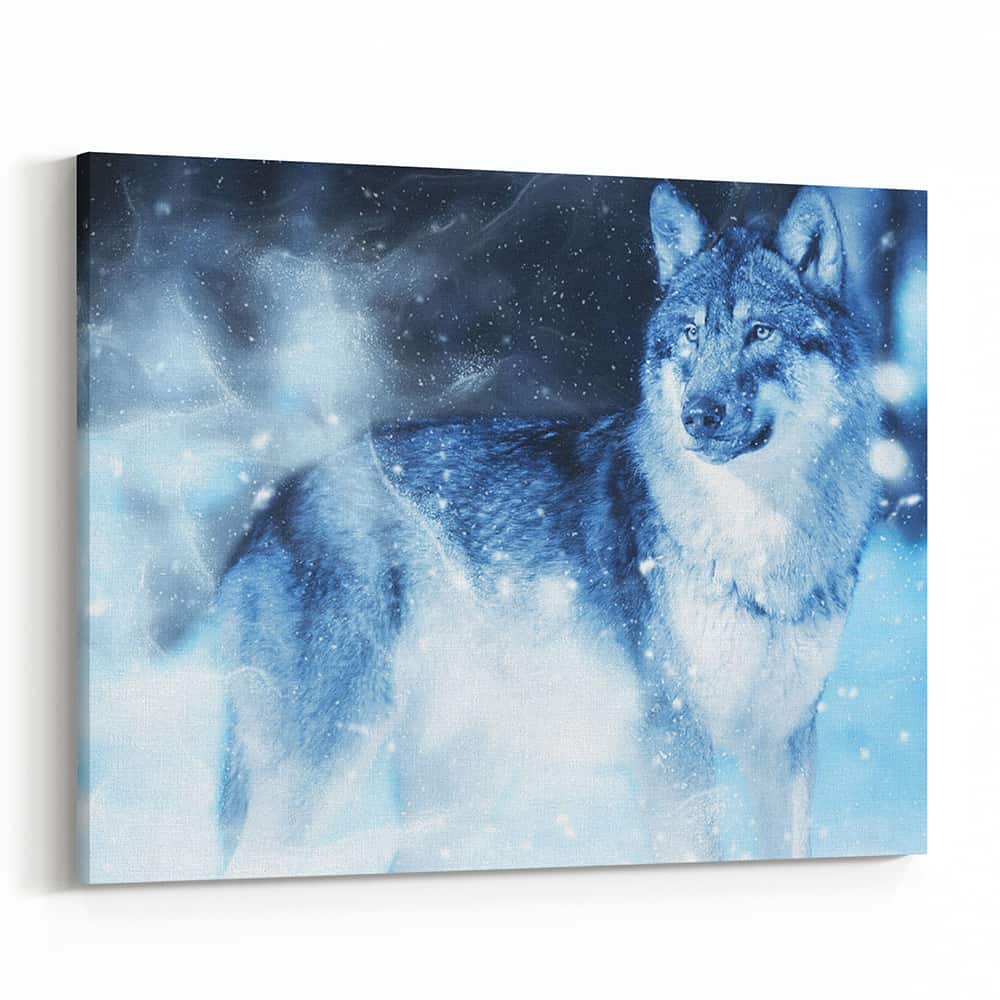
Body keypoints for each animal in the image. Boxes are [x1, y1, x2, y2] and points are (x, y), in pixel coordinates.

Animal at [216, 183, 879, 875]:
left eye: (760, 332)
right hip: (328, 767)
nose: (698, 414)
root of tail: (270, 508)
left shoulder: (784, 739)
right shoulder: (675, 740)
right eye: (691, 334)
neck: (761, 540)